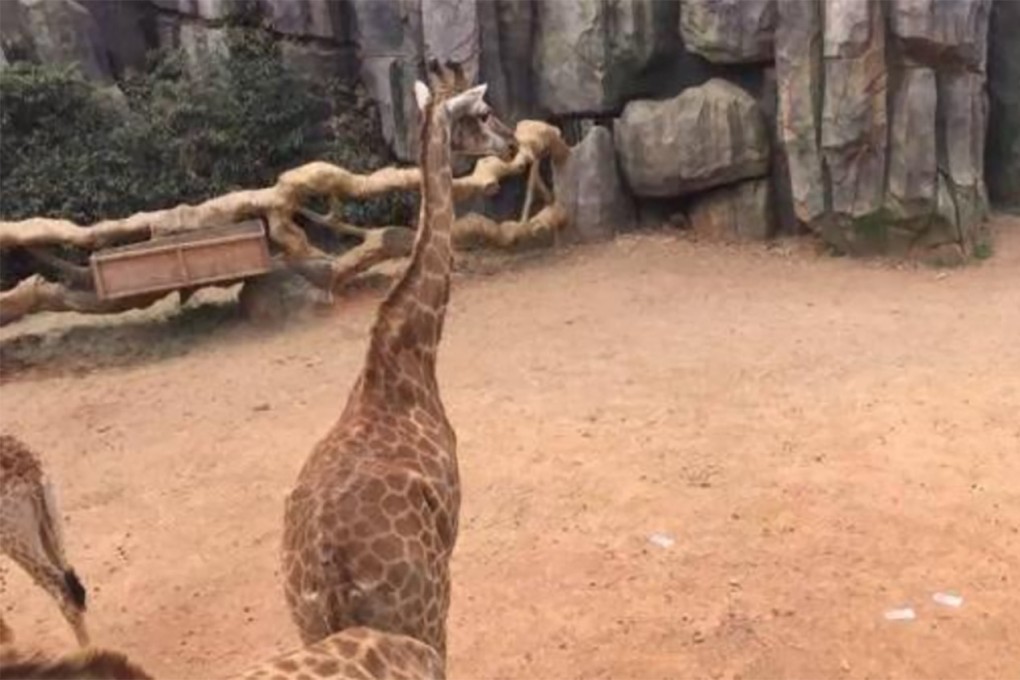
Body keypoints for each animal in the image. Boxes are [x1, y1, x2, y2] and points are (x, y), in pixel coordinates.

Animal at [280, 60, 517, 657]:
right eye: (484, 112)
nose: (511, 143)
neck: (407, 355)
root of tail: (329, 576)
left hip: (305, 621)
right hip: (426, 612)